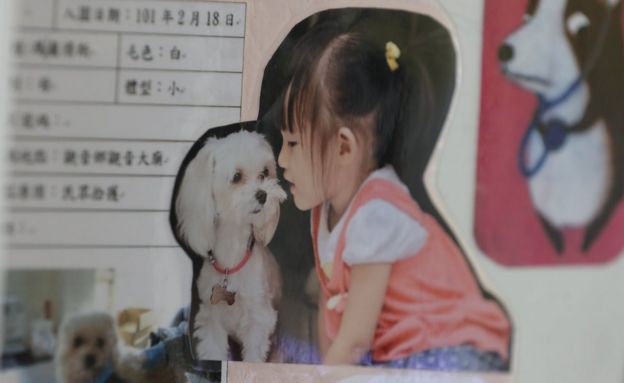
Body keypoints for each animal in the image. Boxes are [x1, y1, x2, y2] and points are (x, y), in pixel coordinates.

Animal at [173, 131, 286, 364]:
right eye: (236, 177)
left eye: (265, 172)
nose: (263, 194)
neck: (232, 260)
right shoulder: (211, 319)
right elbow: (214, 348)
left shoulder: (257, 318)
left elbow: (253, 355)